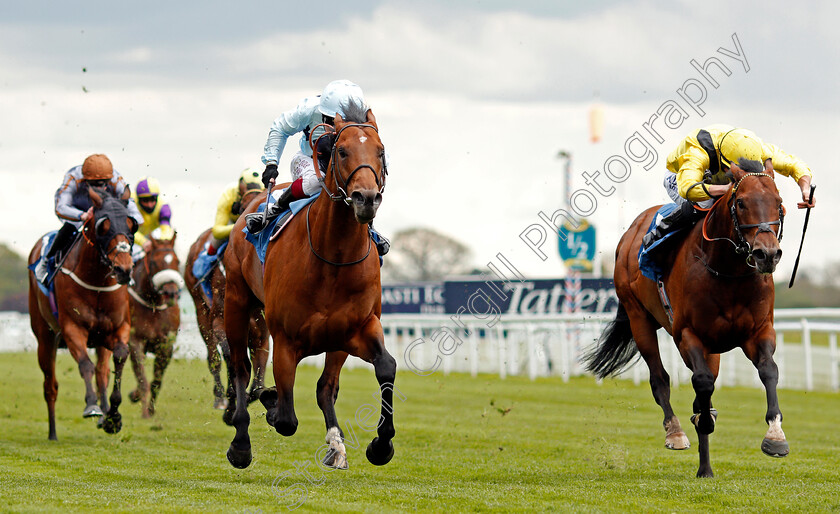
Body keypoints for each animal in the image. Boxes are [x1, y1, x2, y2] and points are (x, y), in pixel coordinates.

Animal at [27, 186, 137, 438]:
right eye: (103, 226)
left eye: (131, 224)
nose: (123, 269)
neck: (96, 282)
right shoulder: (72, 329)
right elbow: (85, 365)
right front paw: (92, 406)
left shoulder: (116, 329)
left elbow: (118, 358)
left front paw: (113, 416)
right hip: (45, 339)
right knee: (50, 386)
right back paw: (53, 433)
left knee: (101, 372)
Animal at [127, 232, 185, 416]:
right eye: (153, 262)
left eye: (177, 261)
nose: (170, 292)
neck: (152, 306)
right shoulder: (135, 341)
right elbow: (142, 378)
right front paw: (144, 410)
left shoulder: (166, 345)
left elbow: (156, 381)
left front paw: (150, 409)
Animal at [185, 186, 270, 418]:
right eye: (242, 209)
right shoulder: (219, 321)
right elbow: (230, 356)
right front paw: (232, 397)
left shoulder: (262, 333)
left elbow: (258, 384)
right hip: (200, 311)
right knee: (213, 358)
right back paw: (220, 397)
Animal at [221, 104, 396, 468]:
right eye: (341, 151)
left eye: (380, 151)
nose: (366, 198)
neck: (332, 259)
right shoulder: (286, 339)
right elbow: (286, 417)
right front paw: (271, 404)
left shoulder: (355, 330)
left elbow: (384, 367)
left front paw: (379, 445)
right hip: (236, 300)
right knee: (241, 368)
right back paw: (241, 443)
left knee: (325, 387)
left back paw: (336, 446)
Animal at [584, 160, 788, 476]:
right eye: (741, 202)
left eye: (778, 203)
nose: (767, 254)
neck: (728, 272)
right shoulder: (688, 334)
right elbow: (701, 382)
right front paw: (700, 420)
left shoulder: (759, 331)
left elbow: (769, 371)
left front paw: (775, 436)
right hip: (638, 317)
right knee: (660, 379)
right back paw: (676, 432)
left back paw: (705, 469)